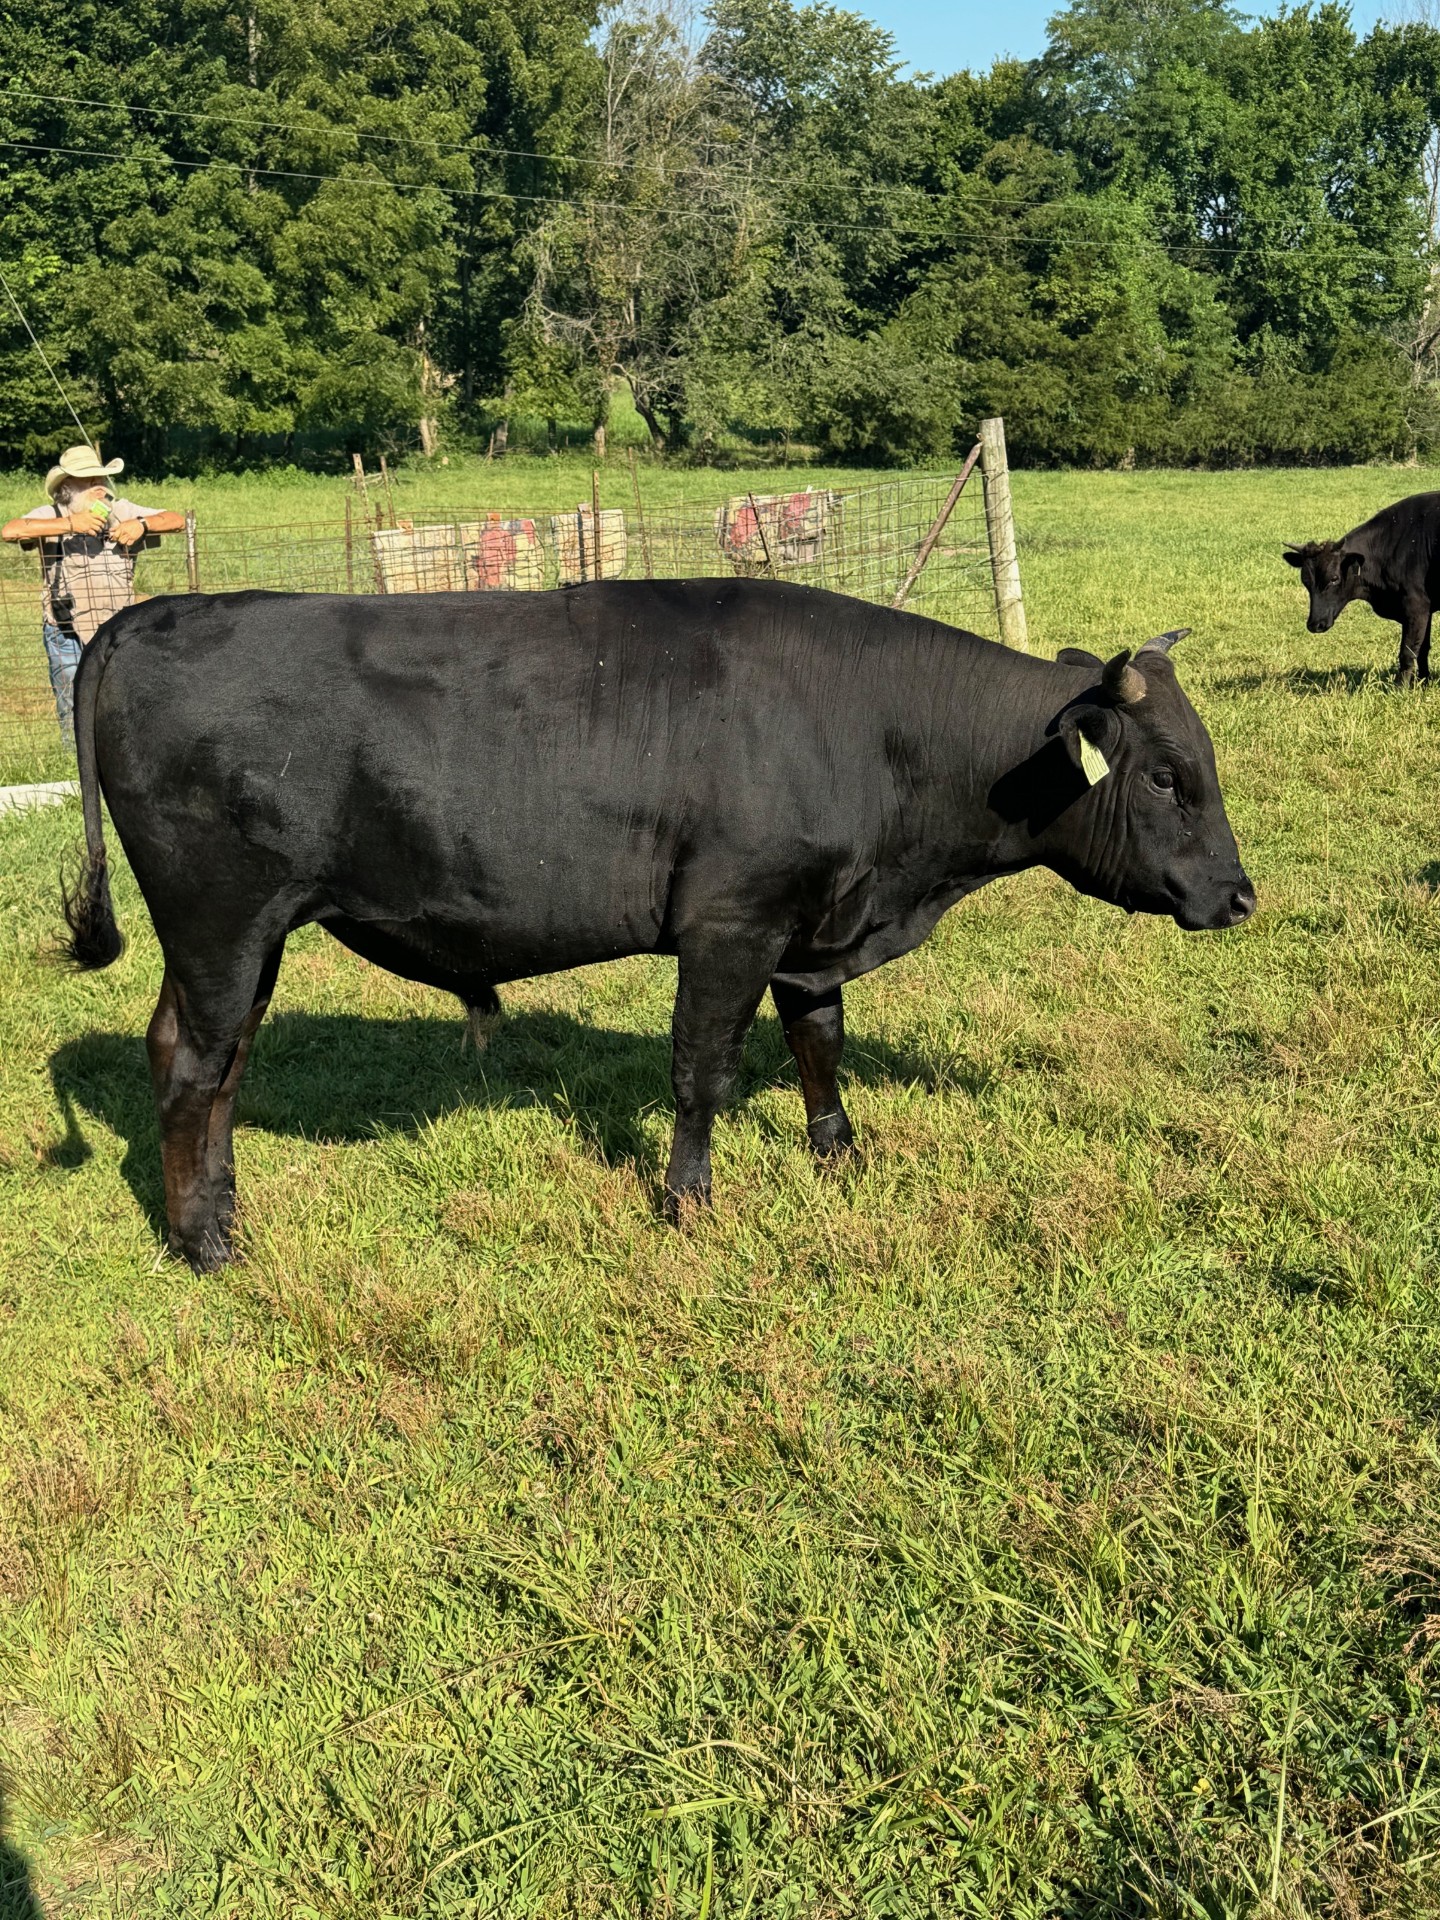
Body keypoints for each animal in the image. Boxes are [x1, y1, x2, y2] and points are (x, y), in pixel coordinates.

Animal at [59, 583, 1251, 1274]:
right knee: (195, 1069)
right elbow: (701, 1071)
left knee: (205, 1061)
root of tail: (148, 614)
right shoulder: (732, 923)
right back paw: (206, 1246)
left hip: (236, 942)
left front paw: (839, 1156)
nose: (1240, 897)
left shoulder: (810, 927)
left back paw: (220, 1217)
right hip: (222, 923)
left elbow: (819, 1041)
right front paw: (688, 1205)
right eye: (1163, 777)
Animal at [1282, 487, 1440, 683]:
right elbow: (1423, 649)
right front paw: (1424, 680)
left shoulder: (1416, 606)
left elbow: (1408, 652)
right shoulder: (1425, 609)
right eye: (1305, 581)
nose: (1315, 624)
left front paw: (1401, 686)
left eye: (1334, 578)